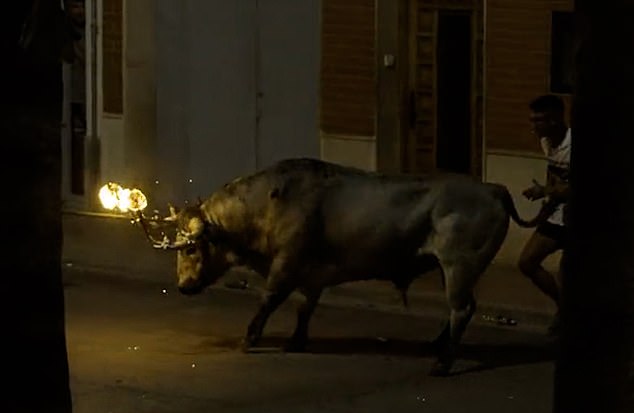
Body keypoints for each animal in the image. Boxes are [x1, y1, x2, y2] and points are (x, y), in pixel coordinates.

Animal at [137, 158, 548, 376]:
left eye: (191, 249)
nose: (183, 286)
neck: (267, 204)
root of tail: (494, 189)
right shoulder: (312, 274)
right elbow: (305, 307)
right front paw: (296, 341)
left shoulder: (286, 264)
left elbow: (269, 300)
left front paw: (249, 339)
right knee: (460, 309)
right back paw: (438, 344)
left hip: (458, 266)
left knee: (462, 308)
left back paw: (443, 362)